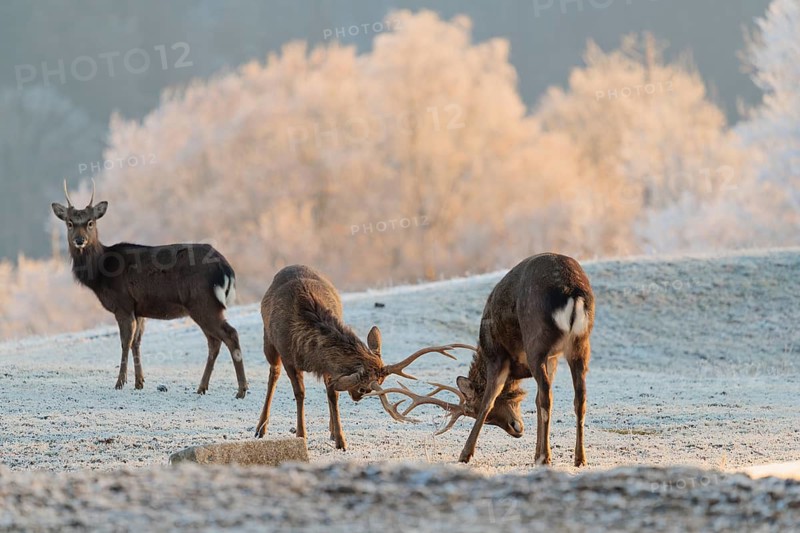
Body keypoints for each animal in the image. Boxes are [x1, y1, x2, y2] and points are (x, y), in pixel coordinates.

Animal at [51, 180, 248, 398]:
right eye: (69, 222)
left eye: (90, 222)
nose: (80, 240)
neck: (100, 275)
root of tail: (226, 267)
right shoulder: (139, 309)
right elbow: (136, 342)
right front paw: (139, 382)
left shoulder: (123, 303)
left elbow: (125, 342)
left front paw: (120, 382)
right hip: (204, 305)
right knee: (214, 342)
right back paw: (202, 387)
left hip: (203, 302)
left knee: (230, 334)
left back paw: (241, 390)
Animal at [255, 264, 472, 450]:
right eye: (363, 387)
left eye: (377, 383)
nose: (358, 397)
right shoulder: (288, 356)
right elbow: (300, 393)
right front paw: (301, 434)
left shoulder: (329, 368)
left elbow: (332, 395)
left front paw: (340, 440)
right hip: (268, 341)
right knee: (273, 373)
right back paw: (260, 428)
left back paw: (330, 430)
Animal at [369, 253, 594, 466]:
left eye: (475, 411)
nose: (516, 429)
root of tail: (573, 292)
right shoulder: (552, 359)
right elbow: (535, 400)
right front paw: (535, 453)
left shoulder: (496, 354)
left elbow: (489, 399)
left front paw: (465, 454)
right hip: (580, 344)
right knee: (579, 396)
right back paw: (579, 458)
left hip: (536, 341)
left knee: (548, 396)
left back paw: (546, 457)